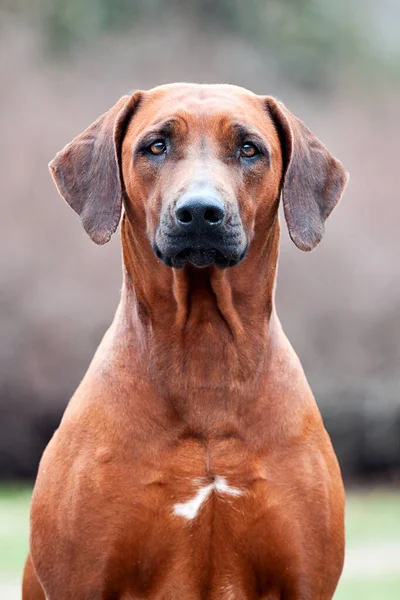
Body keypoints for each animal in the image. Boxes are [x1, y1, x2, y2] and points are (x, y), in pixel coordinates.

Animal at [22, 84, 346, 600]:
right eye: (156, 146)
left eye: (249, 149)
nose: (199, 213)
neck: (205, 359)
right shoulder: (82, 580)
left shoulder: (305, 580)